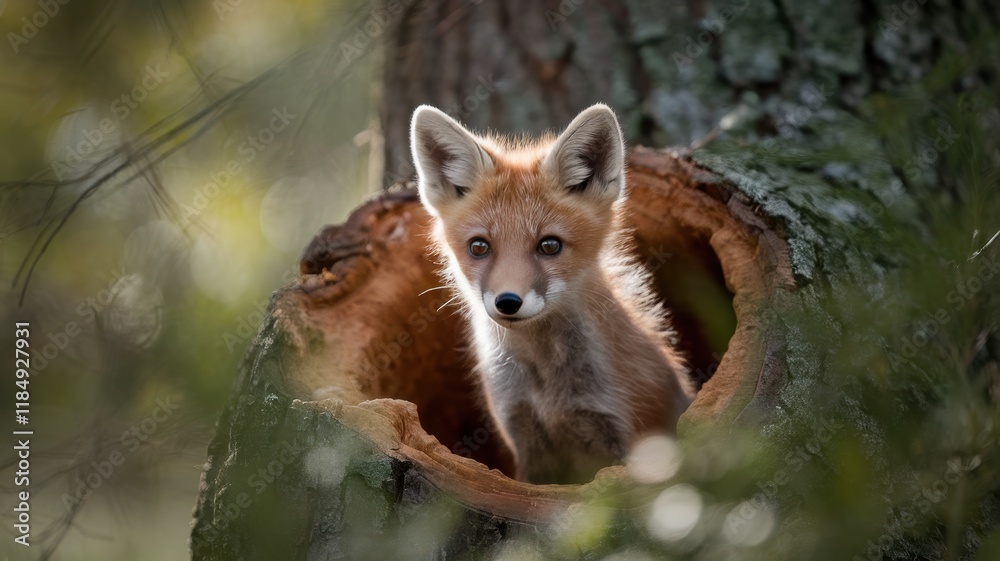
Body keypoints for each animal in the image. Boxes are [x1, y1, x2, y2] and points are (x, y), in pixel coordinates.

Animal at [410, 103, 693, 484]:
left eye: (549, 245)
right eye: (479, 247)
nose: (508, 302)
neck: (549, 393)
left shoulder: (627, 436)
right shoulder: (525, 440)